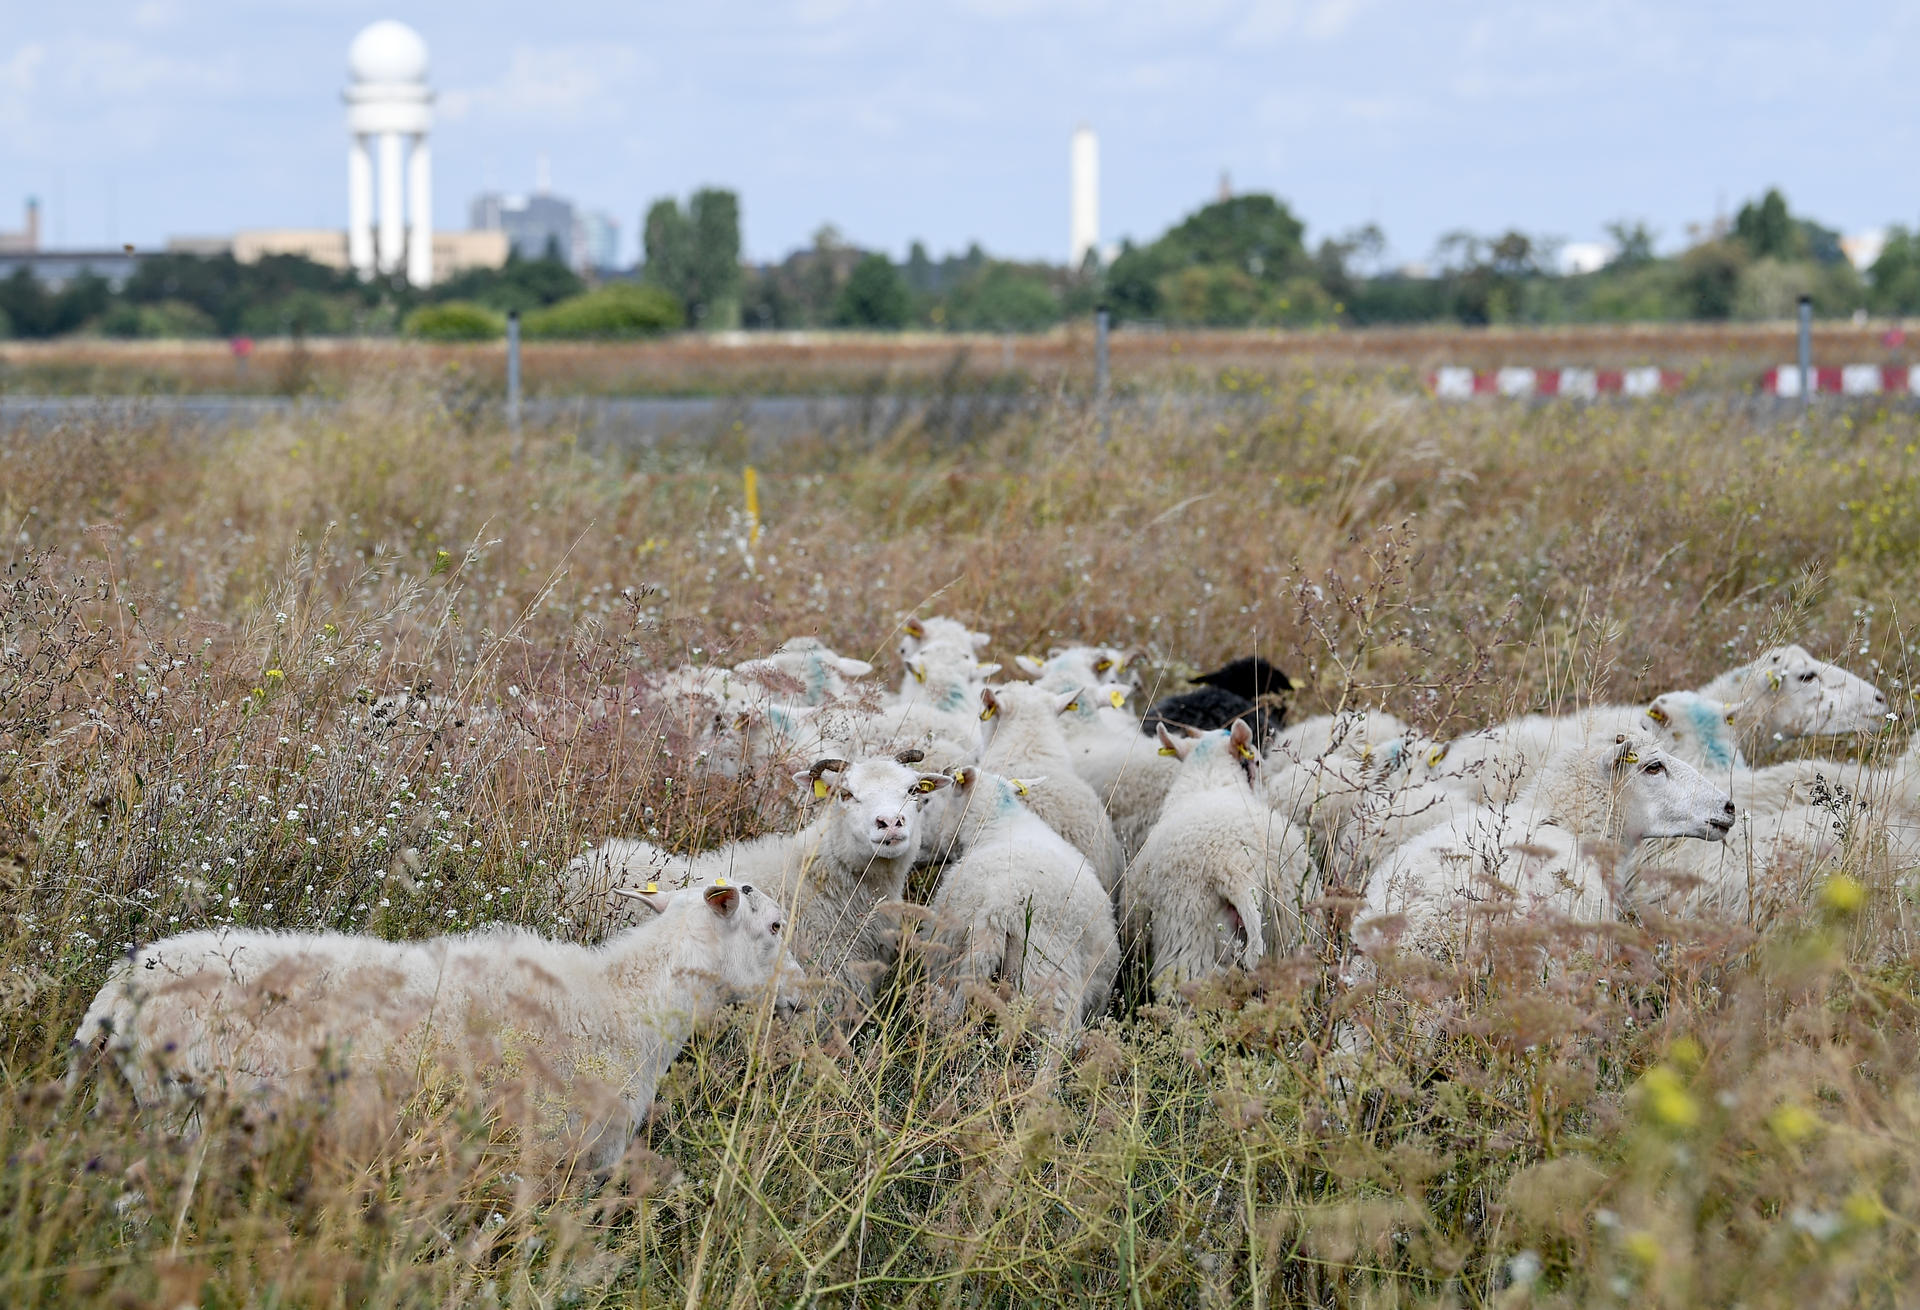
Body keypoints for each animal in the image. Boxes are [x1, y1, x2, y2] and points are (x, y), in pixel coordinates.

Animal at [73, 880, 797, 1173]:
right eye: (774, 925)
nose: (802, 993)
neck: (627, 1002)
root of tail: (115, 996)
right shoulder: (548, 1154)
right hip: (187, 1122)